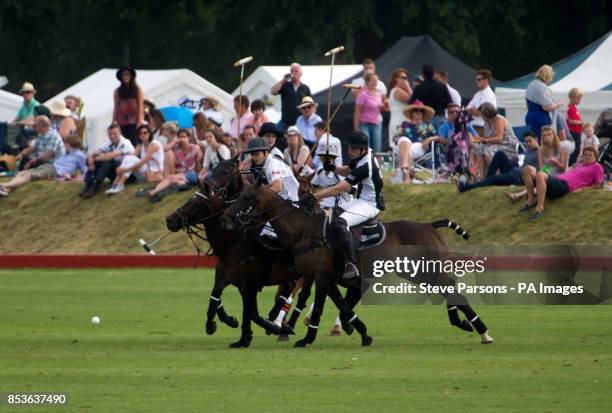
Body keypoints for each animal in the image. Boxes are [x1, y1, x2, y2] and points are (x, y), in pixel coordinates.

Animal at [220, 182, 492, 346]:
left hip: (424, 271)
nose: (226, 219)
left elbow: (320, 308)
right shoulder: (325, 278)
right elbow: (342, 306)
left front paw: (307, 338)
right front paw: (363, 333)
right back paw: (466, 323)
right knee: (449, 287)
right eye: (240, 195)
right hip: (420, 274)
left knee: (452, 288)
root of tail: (428, 225)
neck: (304, 230)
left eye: (248, 197)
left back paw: (482, 330)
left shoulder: (322, 277)